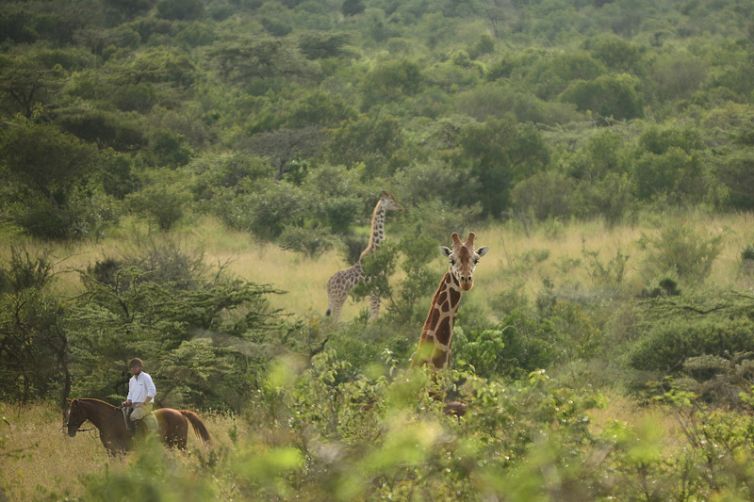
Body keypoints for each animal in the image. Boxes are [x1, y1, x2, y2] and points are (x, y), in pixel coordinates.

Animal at [65, 398, 210, 455]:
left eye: (75, 412)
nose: (70, 431)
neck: (108, 420)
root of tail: (179, 412)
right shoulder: (111, 452)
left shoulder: (119, 451)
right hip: (171, 444)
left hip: (179, 443)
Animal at [325, 191, 401, 321]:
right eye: (391, 201)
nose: (400, 207)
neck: (376, 249)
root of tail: (329, 283)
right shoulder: (376, 289)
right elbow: (375, 316)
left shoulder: (373, 291)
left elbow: (372, 315)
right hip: (339, 298)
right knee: (334, 321)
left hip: (334, 299)